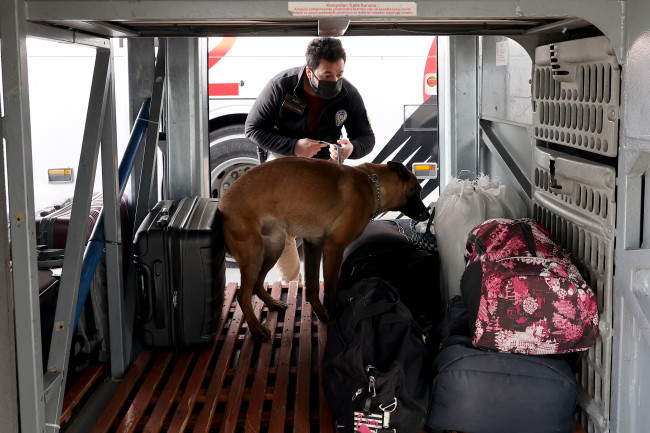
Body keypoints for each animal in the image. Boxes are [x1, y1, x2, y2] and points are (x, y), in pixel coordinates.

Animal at [219, 157, 430, 340]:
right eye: (416, 190)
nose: (427, 215)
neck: (372, 185)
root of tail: (222, 205)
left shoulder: (313, 245)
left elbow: (312, 285)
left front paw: (319, 311)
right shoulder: (334, 249)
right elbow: (331, 289)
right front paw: (332, 315)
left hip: (273, 248)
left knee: (257, 283)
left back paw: (272, 303)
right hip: (254, 254)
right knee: (243, 295)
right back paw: (256, 328)